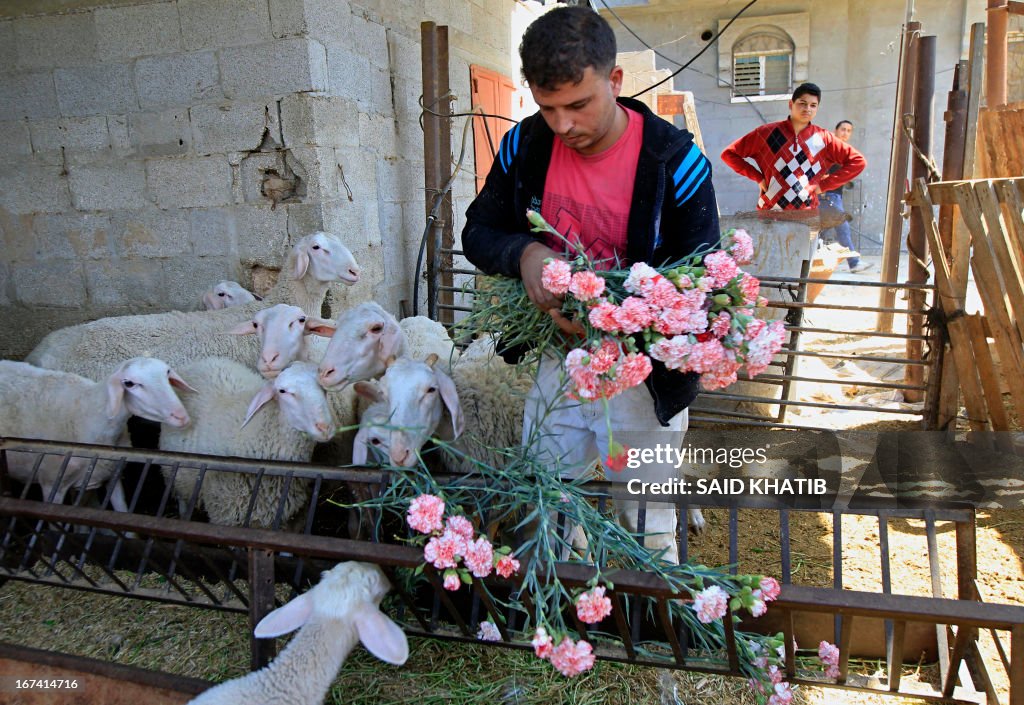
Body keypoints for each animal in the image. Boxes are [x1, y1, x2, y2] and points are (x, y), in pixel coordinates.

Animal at [159, 358, 333, 528]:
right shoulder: (226, 513)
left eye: (324, 388)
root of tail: (199, 362)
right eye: (282, 391)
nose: (325, 428)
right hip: (178, 476)